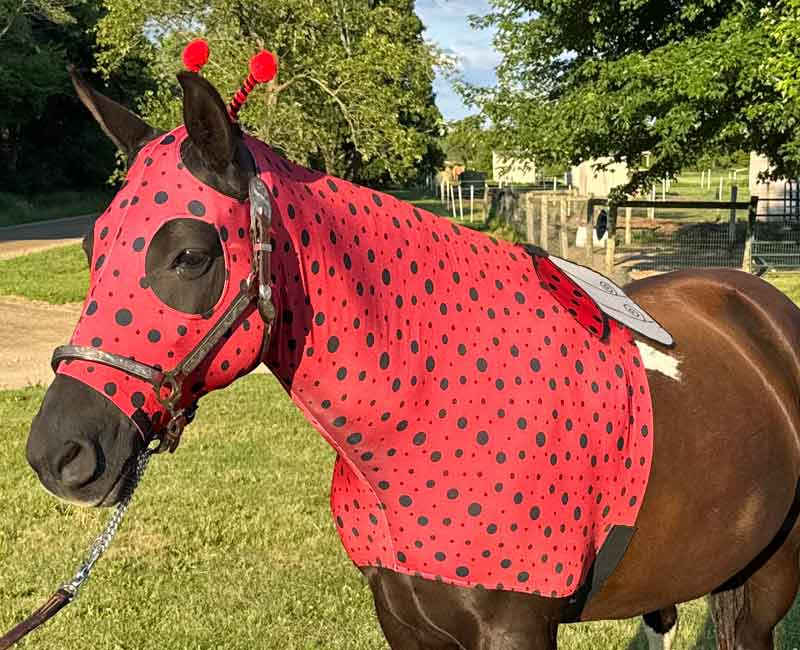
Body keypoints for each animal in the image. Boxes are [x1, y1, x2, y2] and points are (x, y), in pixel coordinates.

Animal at [22, 65, 800, 650]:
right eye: (92, 247)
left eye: (189, 255)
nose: (60, 453)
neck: (436, 409)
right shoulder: (402, 620)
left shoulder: (516, 632)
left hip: (762, 588)